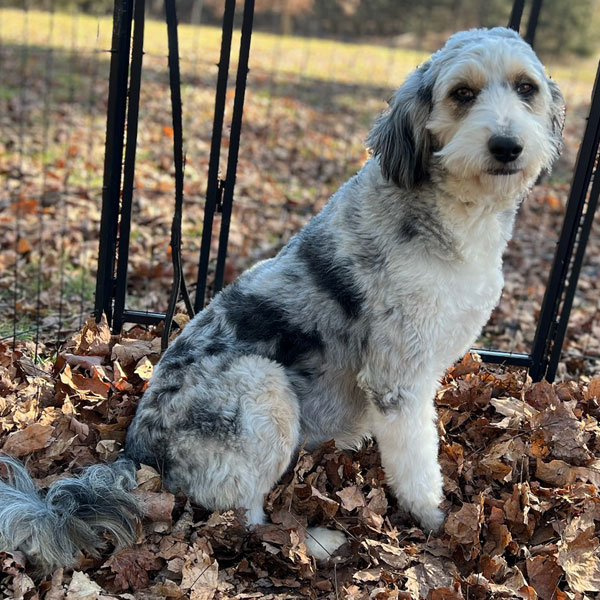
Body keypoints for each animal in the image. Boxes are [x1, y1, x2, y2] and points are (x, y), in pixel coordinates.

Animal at [0, 27, 564, 572]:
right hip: (263, 389)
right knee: (240, 519)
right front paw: (435, 518)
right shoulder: (397, 378)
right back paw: (315, 543)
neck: (451, 210)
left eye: (526, 88)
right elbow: (416, 461)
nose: (507, 145)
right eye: (462, 94)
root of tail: (138, 454)